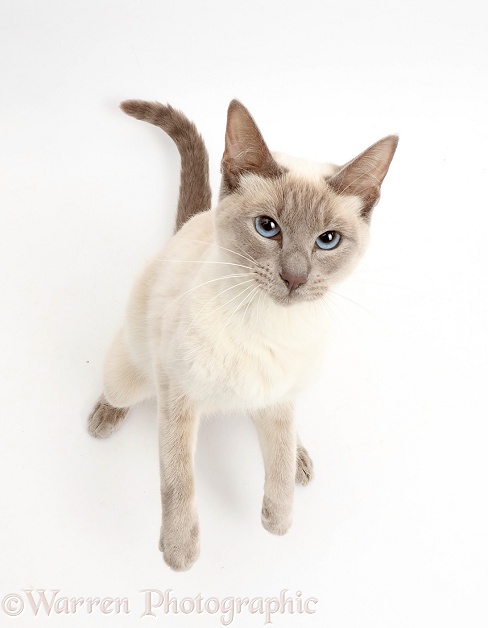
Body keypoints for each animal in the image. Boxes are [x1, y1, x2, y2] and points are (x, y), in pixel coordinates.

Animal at [89, 97, 398, 568]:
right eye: (267, 227)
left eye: (327, 240)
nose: (294, 278)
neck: (267, 324)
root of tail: (192, 221)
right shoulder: (178, 395)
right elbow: (178, 478)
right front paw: (179, 552)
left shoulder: (280, 395)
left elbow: (279, 462)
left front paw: (278, 519)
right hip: (133, 374)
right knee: (118, 389)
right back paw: (103, 418)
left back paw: (299, 459)